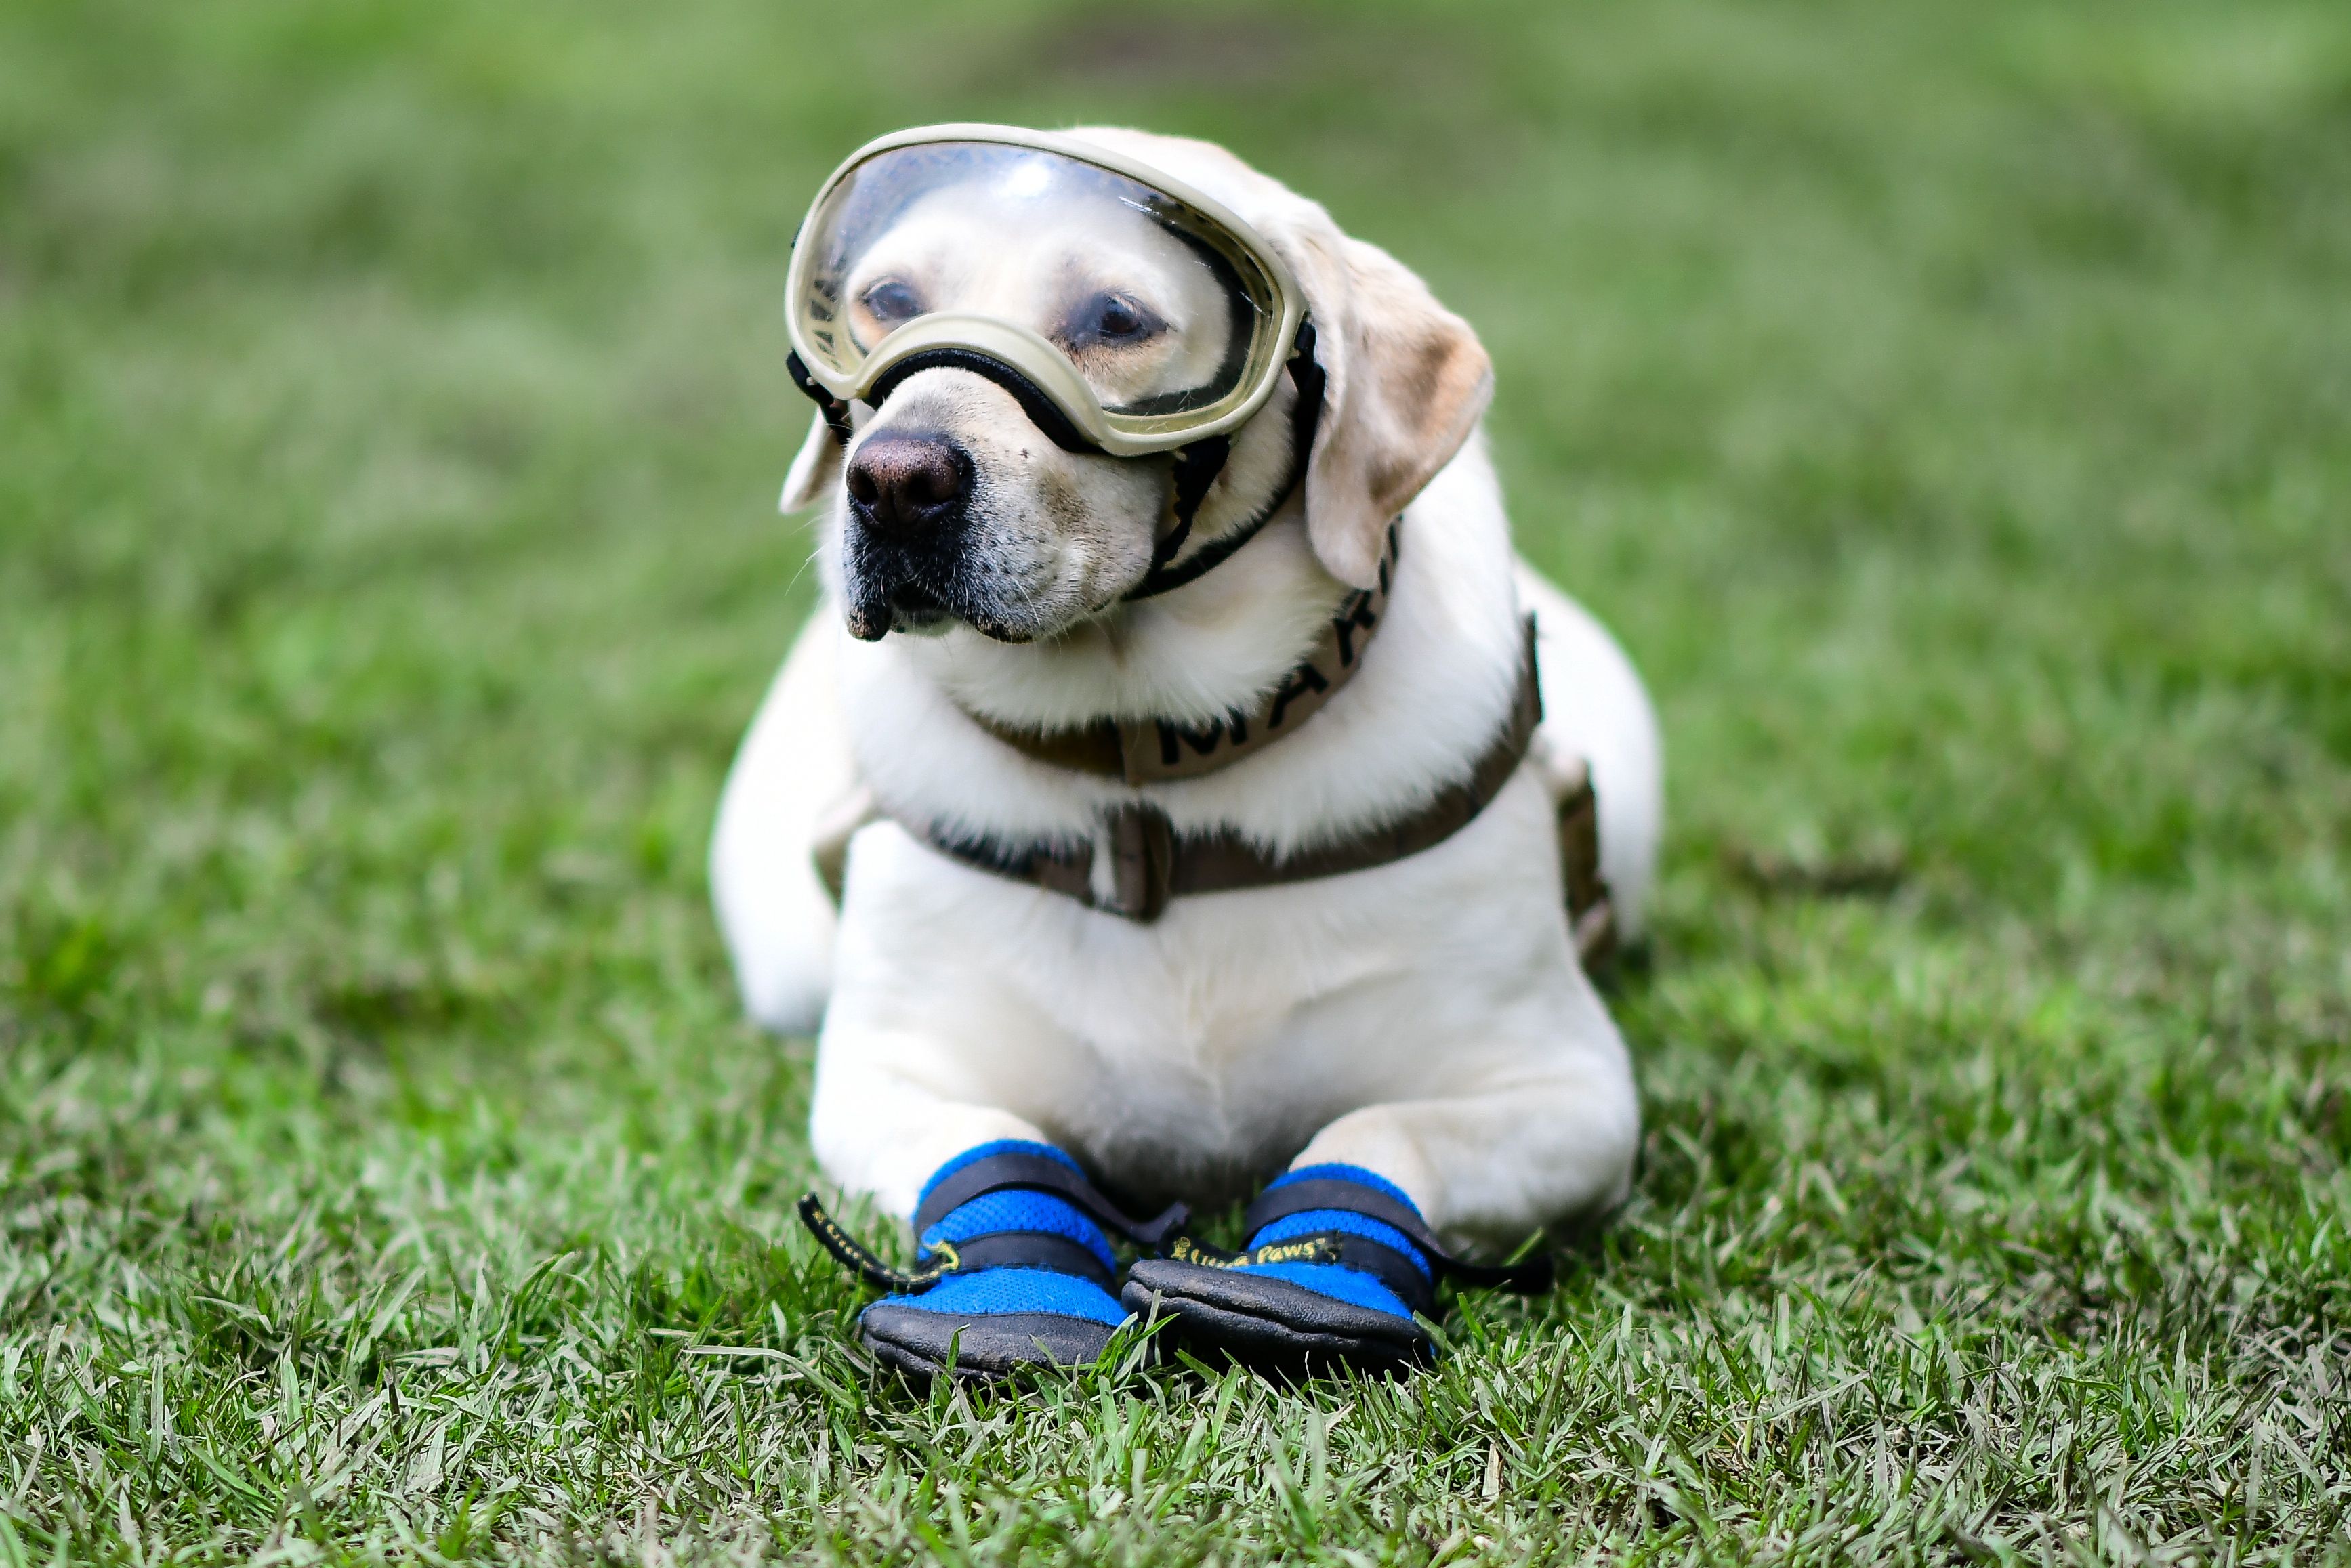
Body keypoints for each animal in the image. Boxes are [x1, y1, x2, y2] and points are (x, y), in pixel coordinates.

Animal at [705, 129, 1664, 1382]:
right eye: (888, 301)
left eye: (1116, 318)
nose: (893, 480)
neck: (1144, 776)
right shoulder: (889, 1073)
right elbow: (998, 1148)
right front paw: (1014, 1290)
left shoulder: (1568, 1091)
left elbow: (1379, 1128)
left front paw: (1308, 1281)